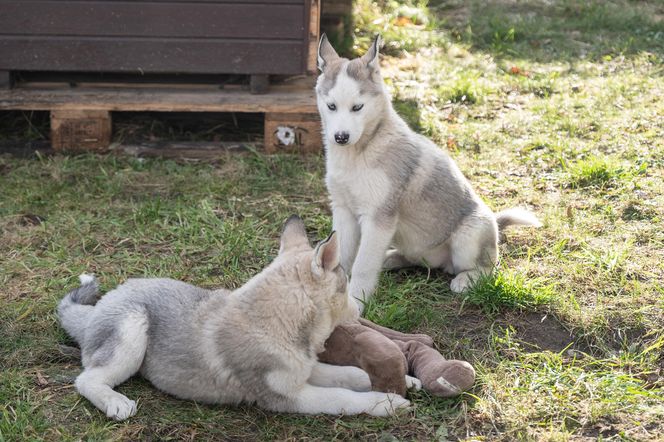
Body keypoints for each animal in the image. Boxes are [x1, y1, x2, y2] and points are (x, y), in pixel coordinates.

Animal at [58, 218, 410, 422]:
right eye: (346, 286)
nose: (360, 312)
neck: (277, 324)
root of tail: (99, 307)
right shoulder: (287, 397)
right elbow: (343, 397)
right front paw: (386, 403)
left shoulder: (303, 370)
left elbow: (348, 374)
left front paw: (407, 381)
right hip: (132, 330)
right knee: (86, 379)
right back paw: (115, 402)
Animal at [316, 35, 540, 308]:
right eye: (331, 106)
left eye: (357, 107)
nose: (340, 137)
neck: (358, 154)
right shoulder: (343, 210)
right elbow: (343, 257)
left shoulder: (379, 217)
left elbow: (363, 266)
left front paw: (356, 302)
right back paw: (391, 258)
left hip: (470, 236)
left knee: (488, 268)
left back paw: (466, 280)